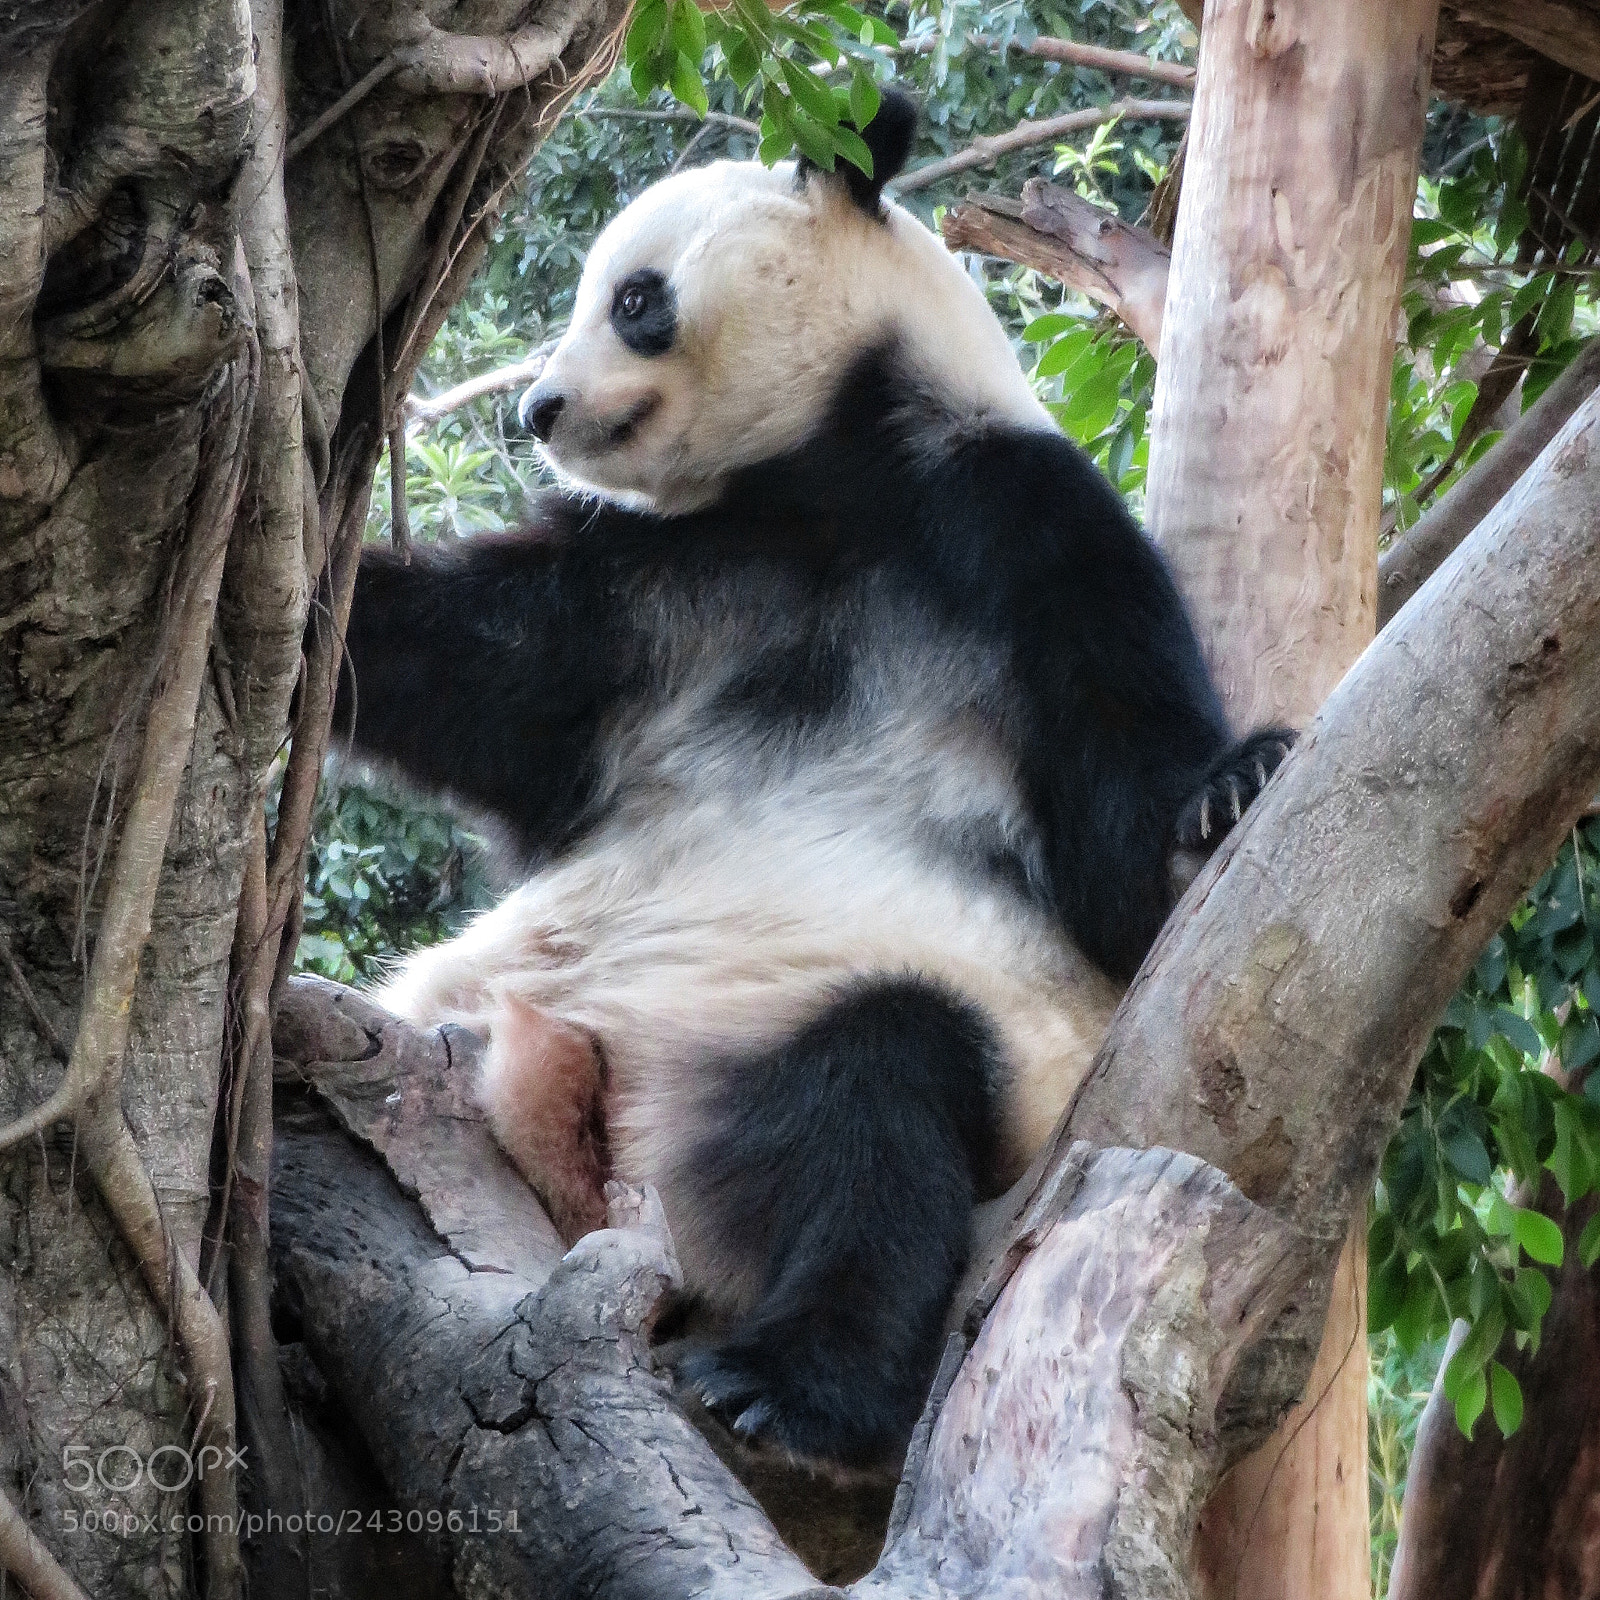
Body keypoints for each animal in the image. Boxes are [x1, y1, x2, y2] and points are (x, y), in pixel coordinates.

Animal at [336, 90, 1291, 1466]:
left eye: (634, 298)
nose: (540, 412)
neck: (830, 479)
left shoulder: (1017, 521)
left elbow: (1116, 850)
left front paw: (1221, 796)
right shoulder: (672, 583)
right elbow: (487, 669)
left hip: (876, 1039)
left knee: (874, 1103)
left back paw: (785, 1384)